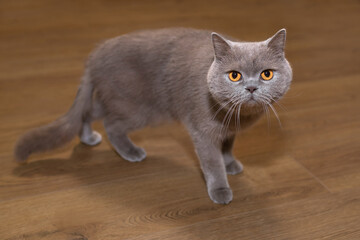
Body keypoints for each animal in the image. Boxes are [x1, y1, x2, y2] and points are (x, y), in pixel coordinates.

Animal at [15, 27, 294, 204]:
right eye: (234, 75)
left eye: (267, 74)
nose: (251, 87)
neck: (237, 116)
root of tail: (95, 55)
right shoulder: (202, 131)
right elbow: (212, 162)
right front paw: (220, 189)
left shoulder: (228, 130)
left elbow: (227, 147)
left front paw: (231, 163)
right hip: (136, 106)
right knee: (111, 124)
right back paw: (131, 152)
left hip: (116, 98)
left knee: (89, 110)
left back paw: (87, 137)